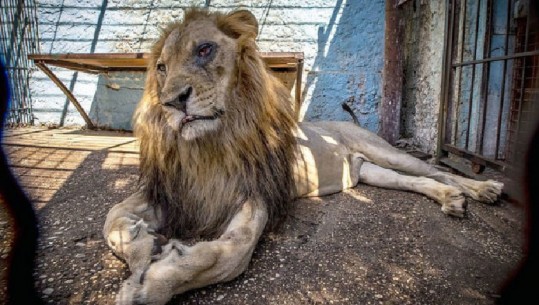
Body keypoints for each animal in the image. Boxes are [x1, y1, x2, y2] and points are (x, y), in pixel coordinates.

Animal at [102, 7, 506, 304]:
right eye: (161, 68)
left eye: (204, 50)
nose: (171, 102)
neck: (209, 146)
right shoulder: (174, 191)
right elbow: (112, 218)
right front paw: (142, 247)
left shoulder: (255, 195)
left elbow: (230, 255)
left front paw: (153, 282)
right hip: (372, 173)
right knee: (418, 181)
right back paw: (451, 199)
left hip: (385, 152)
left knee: (437, 170)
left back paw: (482, 188)